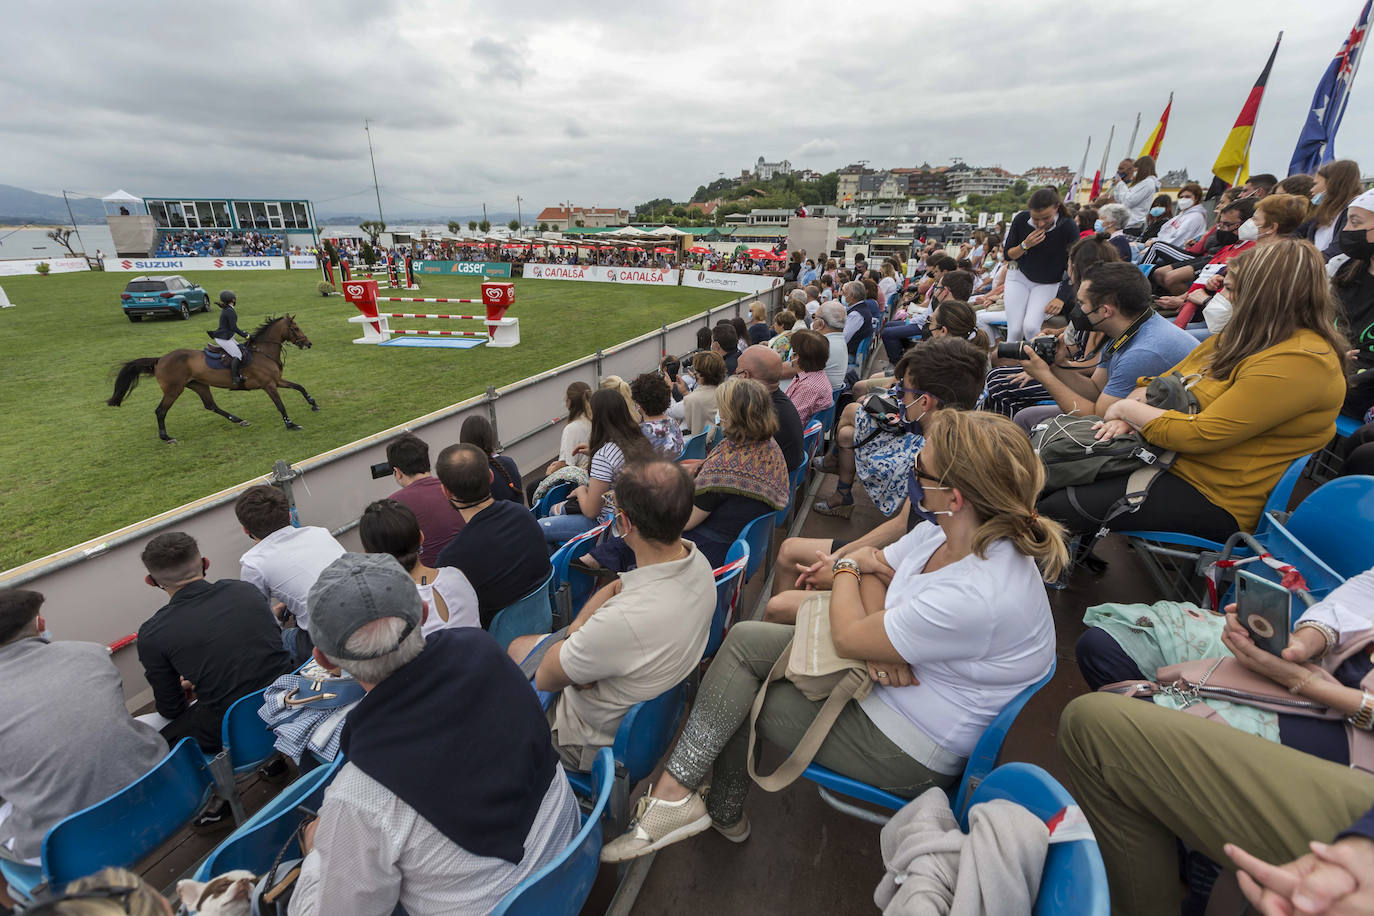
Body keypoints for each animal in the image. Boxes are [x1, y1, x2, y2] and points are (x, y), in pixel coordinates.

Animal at [107, 315, 318, 444]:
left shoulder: (277, 381)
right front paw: (291, 424)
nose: (308, 343)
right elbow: (280, 405)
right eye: (296, 328)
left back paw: (239, 420)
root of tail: (160, 359)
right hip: (174, 390)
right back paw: (167, 437)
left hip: (199, 385)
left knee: (211, 405)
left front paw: (313, 404)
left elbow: (299, 386)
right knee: (160, 411)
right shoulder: (269, 385)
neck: (263, 352)